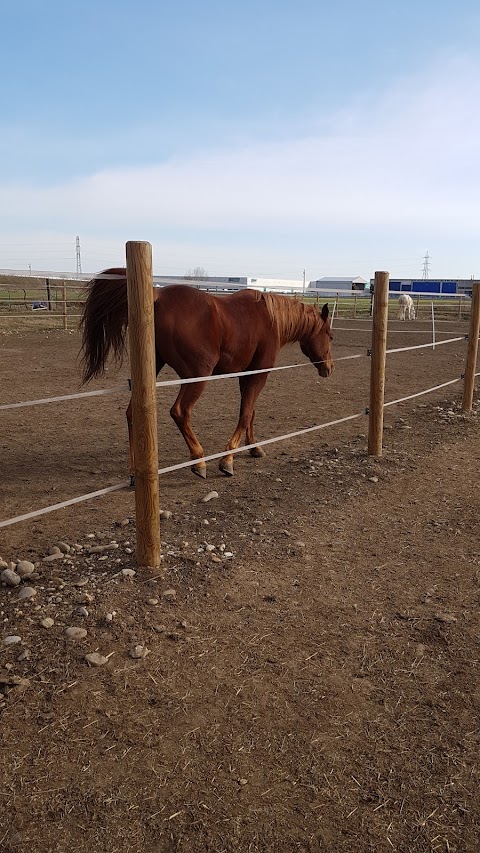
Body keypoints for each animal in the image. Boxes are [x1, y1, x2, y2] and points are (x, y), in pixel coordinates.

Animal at [79, 268, 334, 476]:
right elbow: (244, 416)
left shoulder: (246, 376)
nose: (329, 368)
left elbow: (250, 413)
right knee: (180, 412)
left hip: (151, 371)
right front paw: (227, 459)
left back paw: (135, 471)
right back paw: (198, 460)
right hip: (197, 376)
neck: (269, 319)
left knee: (132, 413)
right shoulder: (258, 374)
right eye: (330, 336)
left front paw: (254, 448)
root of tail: (156, 296)